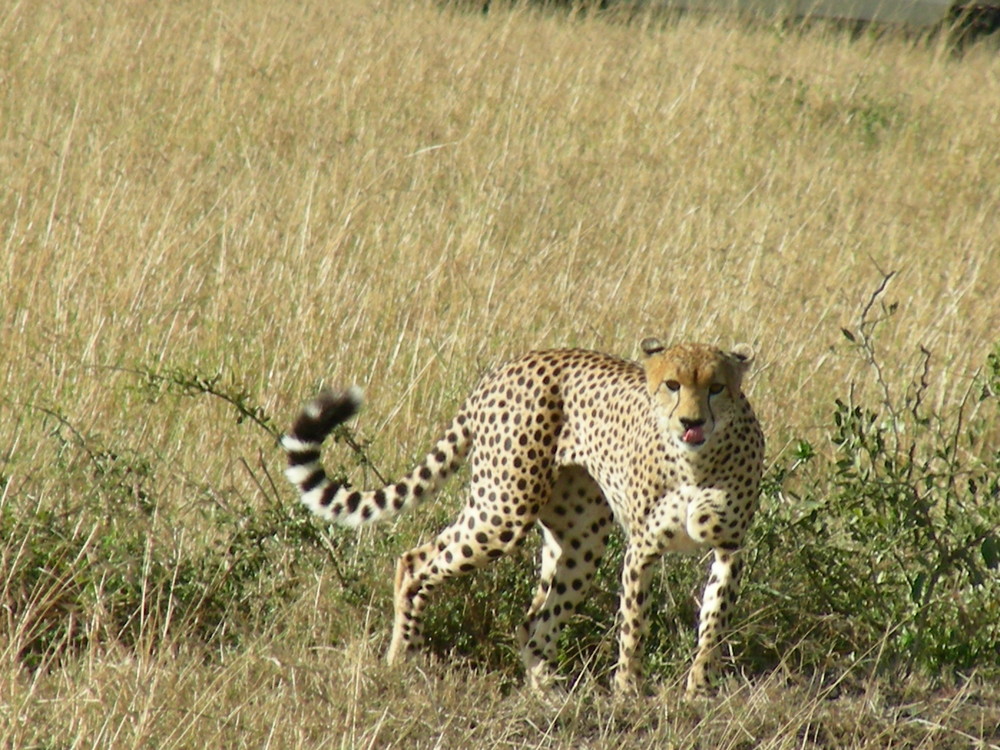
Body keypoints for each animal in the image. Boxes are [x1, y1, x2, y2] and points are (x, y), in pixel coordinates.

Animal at [282, 340, 764, 700]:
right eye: (672, 385)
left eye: (717, 387)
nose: (690, 421)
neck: (697, 462)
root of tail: (510, 365)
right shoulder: (642, 549)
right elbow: (634, 624)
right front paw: (629, 689)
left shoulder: (730, 548)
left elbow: (714, 622)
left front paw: (699, 690)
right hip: (503, 511)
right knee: (415, 562)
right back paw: (403, 658)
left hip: (581, 537)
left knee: (533, 623)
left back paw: (546, 692)